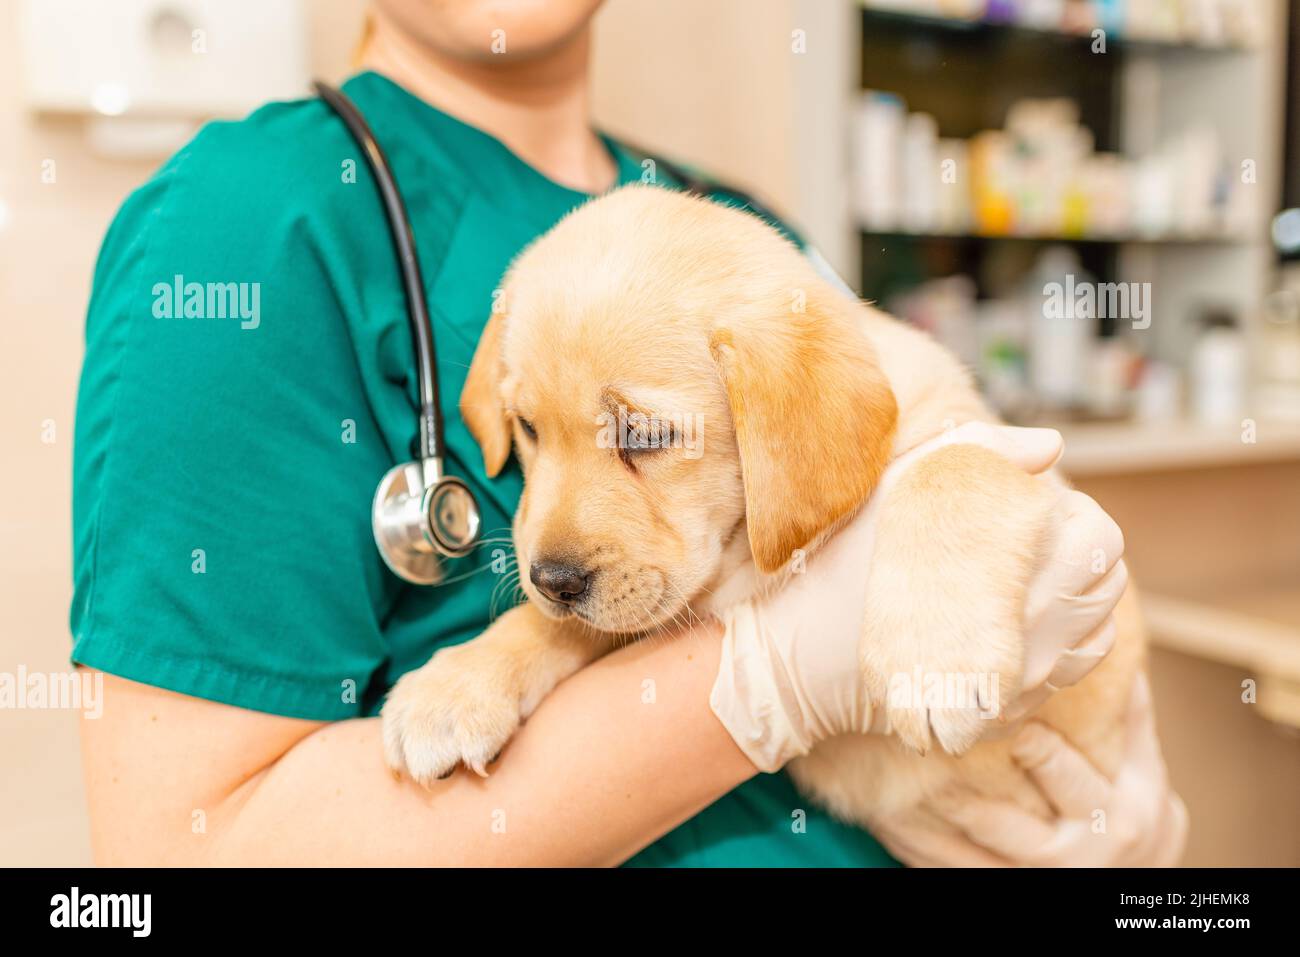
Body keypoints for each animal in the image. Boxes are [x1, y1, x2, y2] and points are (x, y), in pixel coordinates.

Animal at [379, 184, 1144, 832]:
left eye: (643, 435)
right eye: (528, 429)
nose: (553, 581)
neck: (747, 552)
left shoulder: (1037, 476)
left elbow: (951, 464)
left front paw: (935, 660)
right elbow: (557, 628)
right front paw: (457, 683)